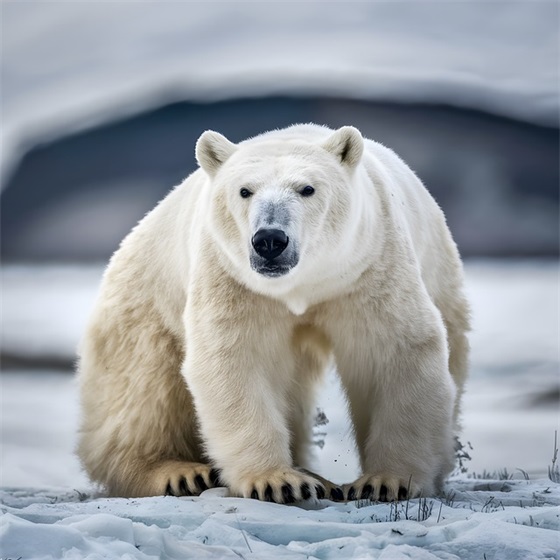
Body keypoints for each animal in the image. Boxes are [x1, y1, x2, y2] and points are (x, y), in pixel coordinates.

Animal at [76, 126, 470, 504]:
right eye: (244, 190)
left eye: (307, 188)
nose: (269, 240)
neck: (300, 287)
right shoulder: (233, 278)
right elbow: (236, 359)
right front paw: (278, 482)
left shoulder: (368, 267)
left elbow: (395, 352)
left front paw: (386, 482)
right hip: (145, 307)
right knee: (145, 392)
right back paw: (180, 472)